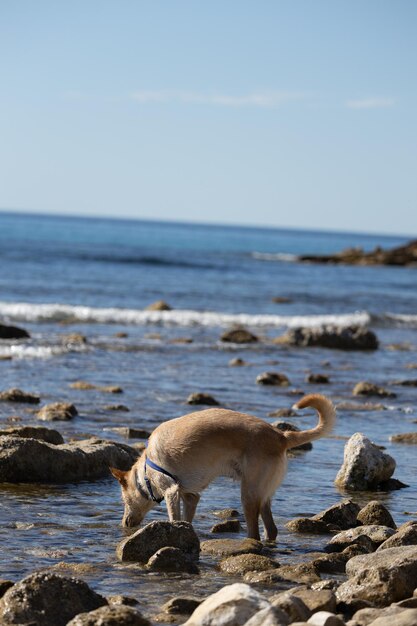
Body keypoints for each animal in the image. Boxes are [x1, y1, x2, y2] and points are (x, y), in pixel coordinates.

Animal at [110, 392, 334, 540]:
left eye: (124, 501)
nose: (123, 524)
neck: (146, 471)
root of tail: (281, 436)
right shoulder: (190, 495)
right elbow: (187, 518)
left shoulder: (171, 491)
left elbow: (174, 517)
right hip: (263, 493)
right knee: (271, 529)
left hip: (248, 493)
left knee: (254, 531)